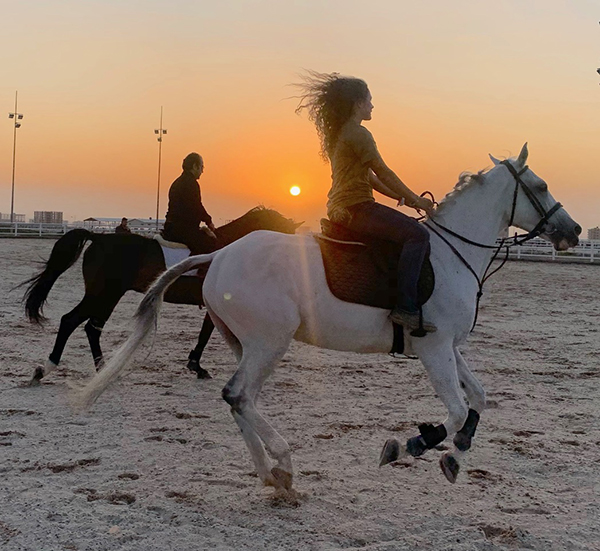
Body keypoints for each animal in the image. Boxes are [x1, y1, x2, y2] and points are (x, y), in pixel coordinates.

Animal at [23, 207, 300, 384]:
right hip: (103, 294)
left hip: (106, 296)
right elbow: (209, 333)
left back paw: (102, 369)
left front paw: (195, 364)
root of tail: (99, 237)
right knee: (72, 321)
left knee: (91, 328)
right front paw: (198, 366)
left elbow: (205, 332)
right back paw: (47, 369)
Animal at [77, 144, 580, 494]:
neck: (453, 254)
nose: (572, 231)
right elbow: (456, 411)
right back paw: (282, 461)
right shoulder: (435, 349)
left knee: (240, 400)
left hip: (250, 345)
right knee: (237, 395)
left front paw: (454, 454)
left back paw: (270, 473)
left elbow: (478, 398)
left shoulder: (450, 348)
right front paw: (412, 444)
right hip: (269, 343)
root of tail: (218, 254)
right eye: (540, 187)